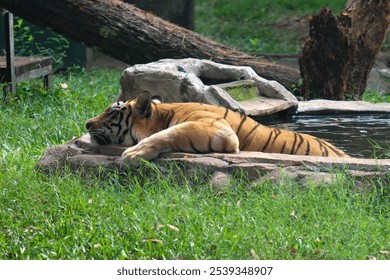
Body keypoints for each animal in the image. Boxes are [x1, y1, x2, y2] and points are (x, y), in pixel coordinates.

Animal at [86, 91, 350, 166]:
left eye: (111, 112)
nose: (87, 123)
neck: (166, 111)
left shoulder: (219, 130)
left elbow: (169, 133)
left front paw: (134, 153)